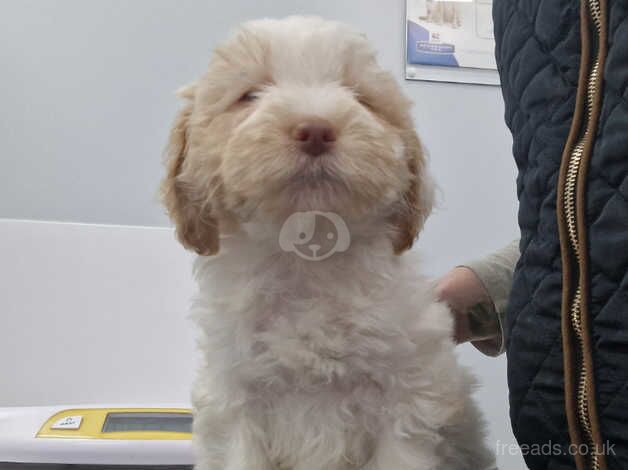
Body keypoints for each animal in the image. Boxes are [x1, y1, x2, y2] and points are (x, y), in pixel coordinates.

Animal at [162, 15, 496, 470]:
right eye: (249, 95)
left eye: (360, 98)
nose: (316, 129)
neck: (308, 257)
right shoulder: (234, 401)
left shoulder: (407, 399)